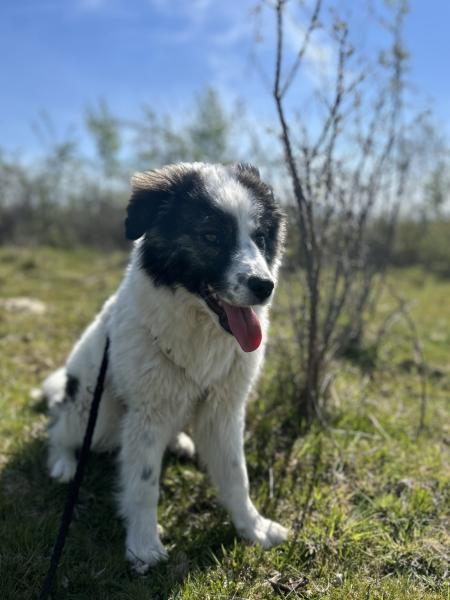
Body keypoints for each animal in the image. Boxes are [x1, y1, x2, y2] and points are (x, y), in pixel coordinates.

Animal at [43, 161, 288, 572]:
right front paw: (143, 546)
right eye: (211, 235)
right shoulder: (148, 412)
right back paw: (63, 463)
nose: (264, 286)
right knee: (60, 430)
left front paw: (253, 527)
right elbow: (143, 483)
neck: (199, 327)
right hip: (96, 412)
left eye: (260, 238)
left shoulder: (224, 410)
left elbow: (236, 475)